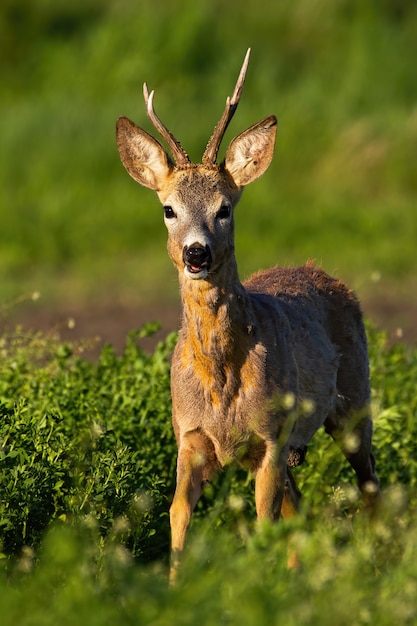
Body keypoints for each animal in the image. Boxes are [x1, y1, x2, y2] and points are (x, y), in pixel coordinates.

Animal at [115, 48, 378, 580]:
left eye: (225, 208)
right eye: (168, 209)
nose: (196, 253)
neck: (222, 384)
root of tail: (321, 272)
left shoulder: (271, 437)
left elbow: (262, 520)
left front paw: (259, 585)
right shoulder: (188, 436)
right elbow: (177, 512)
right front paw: (174, 586)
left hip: (353, 401)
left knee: (370, 485)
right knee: (301, 507)